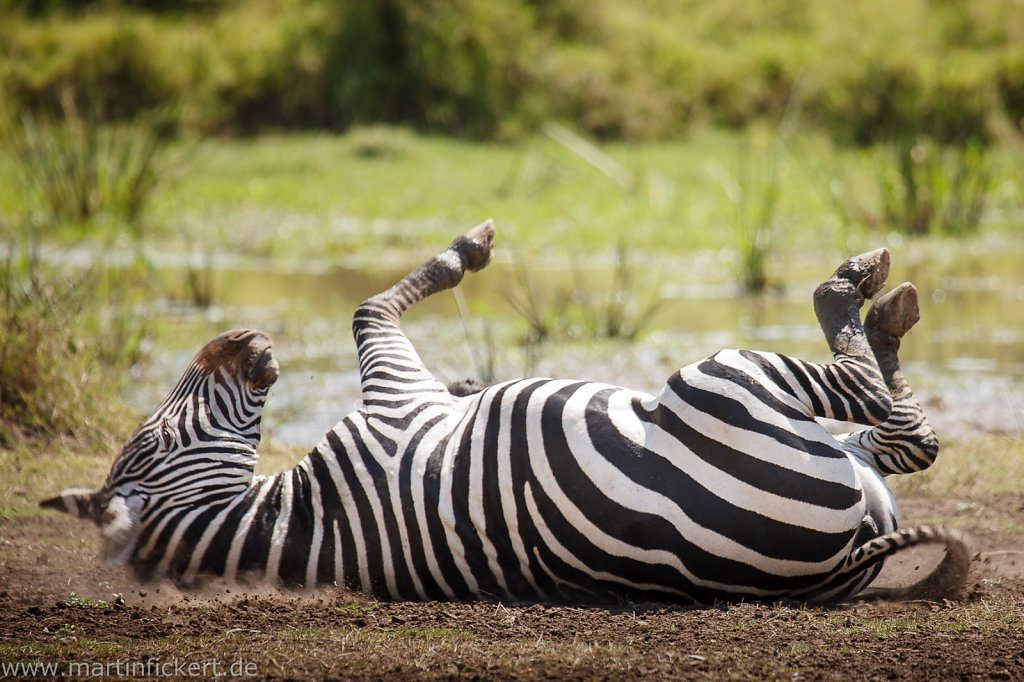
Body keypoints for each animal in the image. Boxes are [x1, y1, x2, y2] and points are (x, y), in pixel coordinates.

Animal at [39, 220, 966, 602]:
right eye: (154, 437)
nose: (239, 338)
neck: (284, 522)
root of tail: (839, 564)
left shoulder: (409, 397)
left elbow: (375, 311)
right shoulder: (393, 400)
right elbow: (367, 312)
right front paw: (464, 253)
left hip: (836, 454)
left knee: (901, 434)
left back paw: (882, 318)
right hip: (726, 380)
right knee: (890, 414)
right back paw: (865, 294)